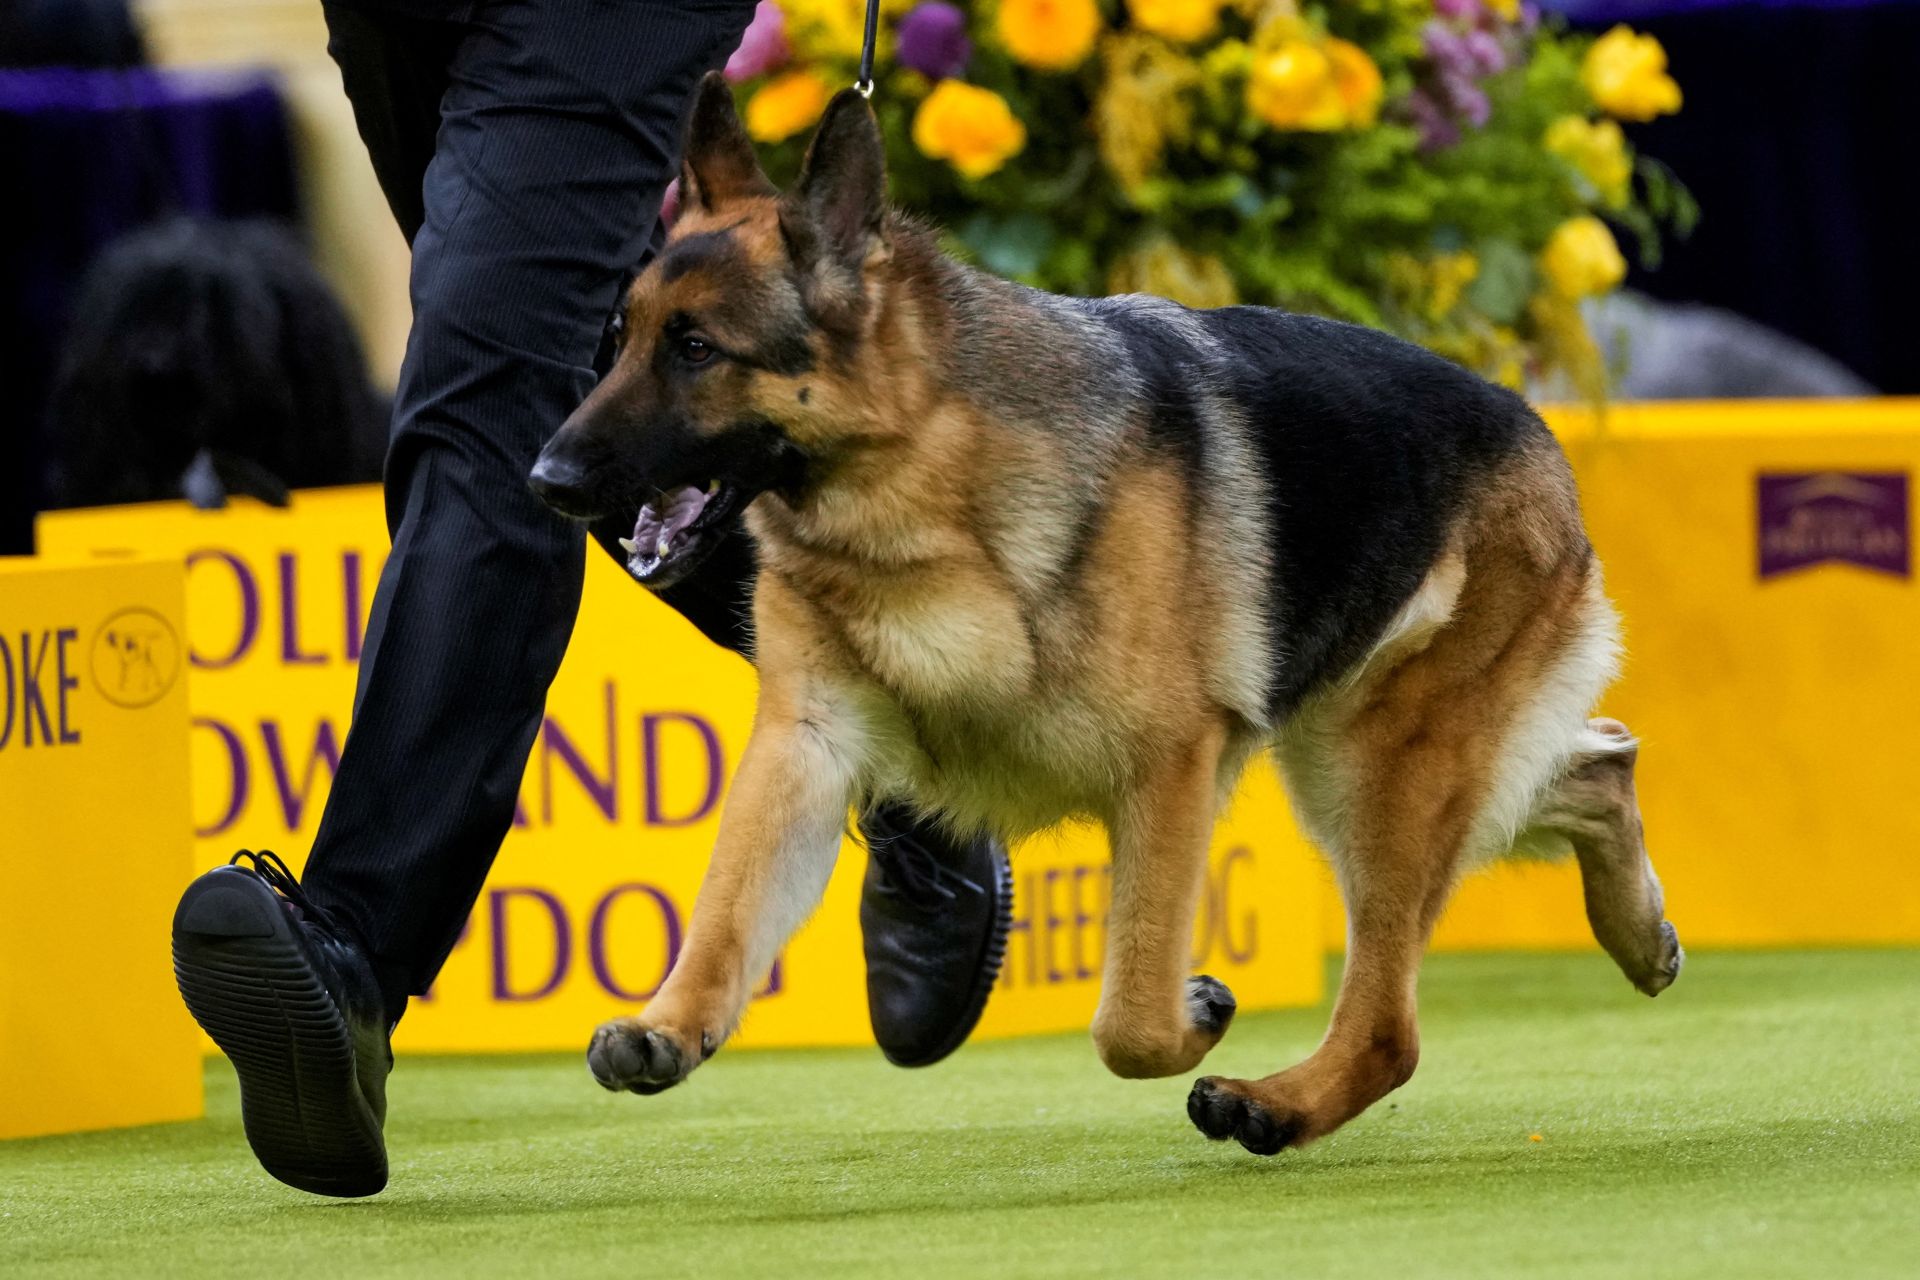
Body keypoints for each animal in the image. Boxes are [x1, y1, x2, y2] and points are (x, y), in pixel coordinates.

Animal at [526, 75, 1681, 1159]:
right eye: (618, 340)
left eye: (696, 350)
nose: (545, 479)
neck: (925, 485)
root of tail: (1533, 426)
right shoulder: (804, 745)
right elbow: (727, 908)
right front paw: (671, 1022)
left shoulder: (1170, 767)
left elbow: (1127, 1017)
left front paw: (1197, 1010)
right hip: (1366, 757)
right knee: (1604, 758)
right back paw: (1640, 933)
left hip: (1387, 770)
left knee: (1391, 1021)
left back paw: (1273, 1104)